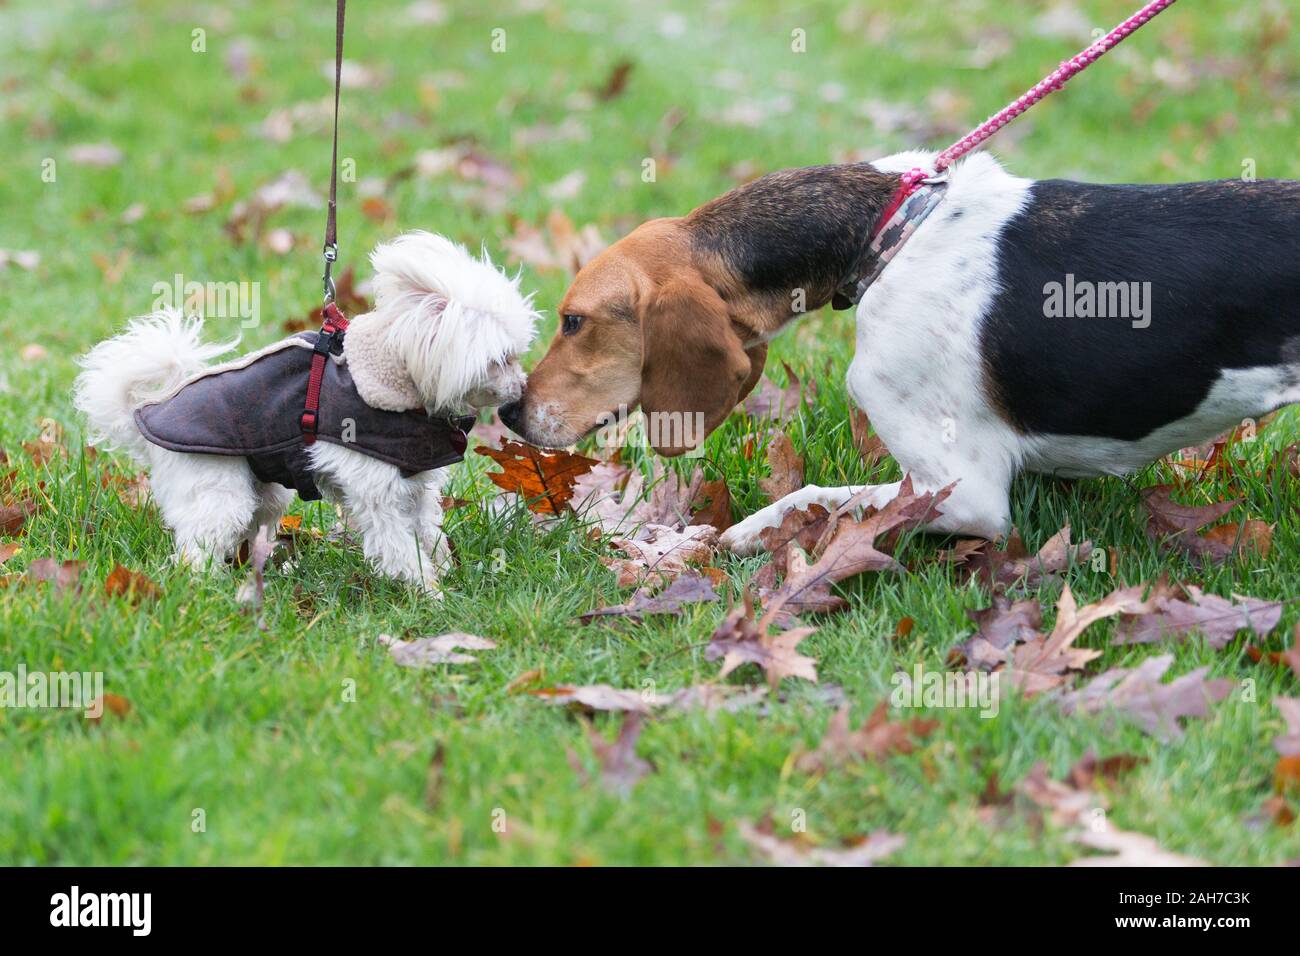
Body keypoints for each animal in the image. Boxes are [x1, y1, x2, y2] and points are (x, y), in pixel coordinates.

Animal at [76, 231, 538, 590]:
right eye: (500, 359)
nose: (521, 389)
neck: (390, 380)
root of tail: (144, 417)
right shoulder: (379, 495)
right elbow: (401, 547)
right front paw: (427, 591)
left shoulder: (417, 486)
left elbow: (429, 532)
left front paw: (444, 571)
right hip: (219, 492)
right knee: (195, 552)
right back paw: (208, 587)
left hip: (263, 491)